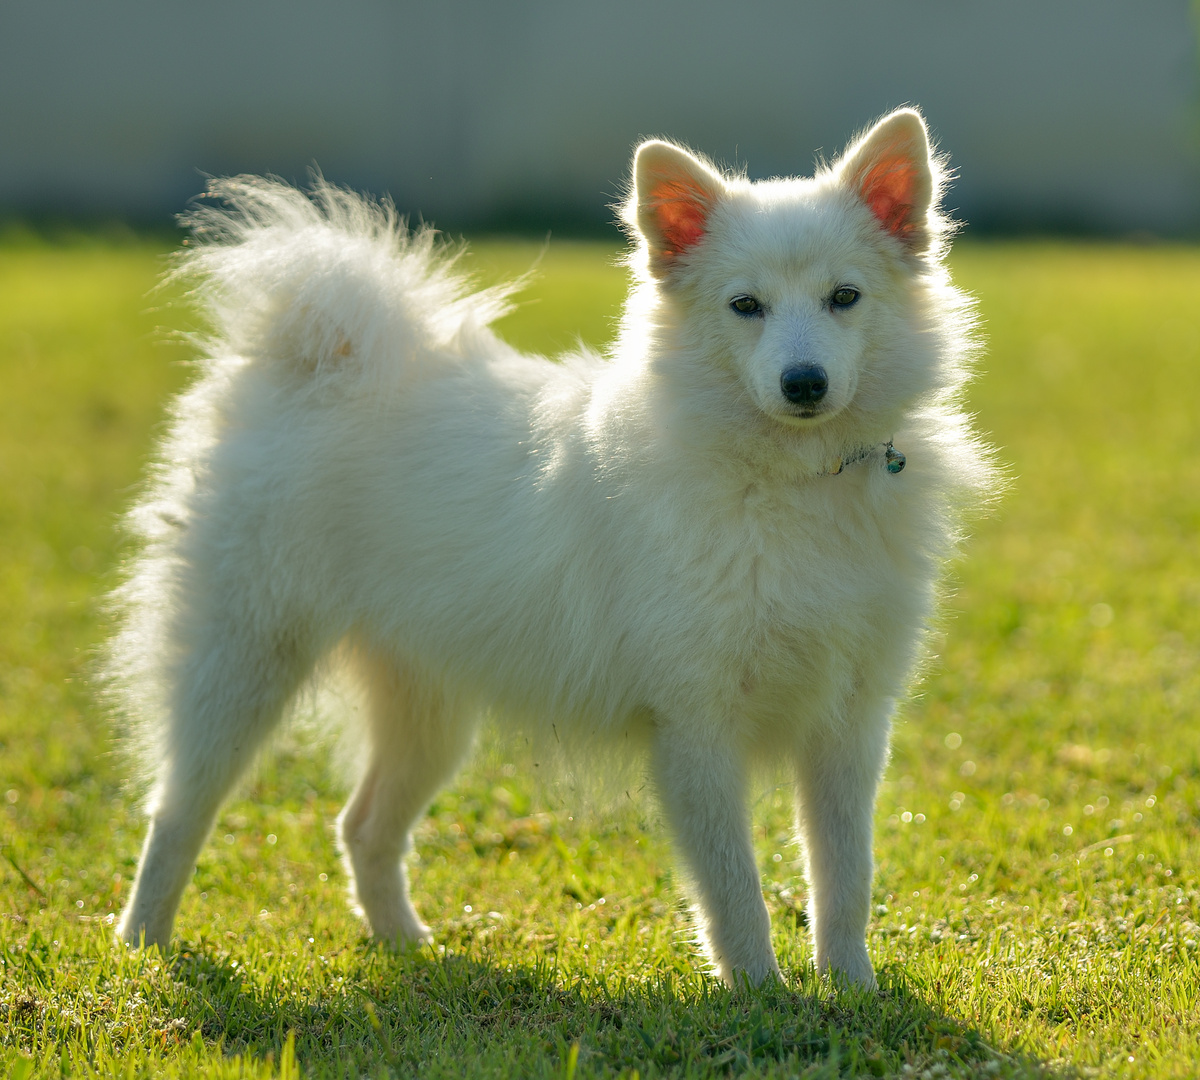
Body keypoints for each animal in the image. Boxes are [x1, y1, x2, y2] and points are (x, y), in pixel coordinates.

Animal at [112, 107, 993, 988]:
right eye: (746, 305)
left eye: (845, 298)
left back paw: (409, 947)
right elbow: (734, 888)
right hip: (243, 663)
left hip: (427, 710)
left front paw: (853, 990)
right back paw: (143, 945)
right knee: (178, 810)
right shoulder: (695, 727)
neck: (789, 479)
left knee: (361, 826)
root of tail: (320, 362)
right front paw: (761, 995)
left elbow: (845, 875)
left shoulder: (851, 722)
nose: (803, 383)